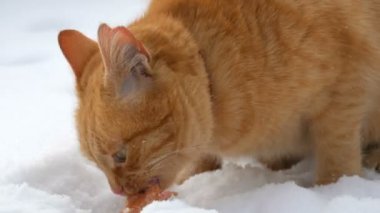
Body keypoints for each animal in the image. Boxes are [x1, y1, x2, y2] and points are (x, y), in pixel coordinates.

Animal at [58, 0, 380, 196]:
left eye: (120, 156)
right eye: (95, 164)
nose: (117, 191)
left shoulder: (345, 92)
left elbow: (336, 155)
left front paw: (332, 191)